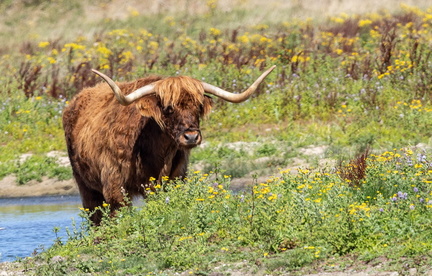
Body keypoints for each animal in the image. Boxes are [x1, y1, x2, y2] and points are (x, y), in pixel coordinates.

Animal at [62, 65, 276, 224]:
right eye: (168, 108)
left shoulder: (175, 175)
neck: (155, 151)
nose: (191, 137)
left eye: (198, 106)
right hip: (85, 185)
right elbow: (118, 212)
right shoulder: (114, 182)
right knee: (95, 215)